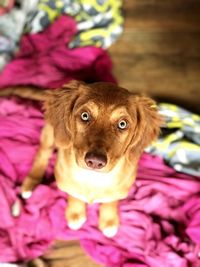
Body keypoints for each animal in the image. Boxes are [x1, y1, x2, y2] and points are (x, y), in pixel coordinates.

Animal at [18, 81, 162, 239]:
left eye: (122, 124)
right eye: (85, 115)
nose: (95, 161)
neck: (92, 178)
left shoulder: (121, 189)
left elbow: (111, 201)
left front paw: (109, 220)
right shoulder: (66, 182)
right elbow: (74, 194)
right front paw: (75, 213)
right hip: (51, 133)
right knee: (43, 153)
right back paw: (30, 183)